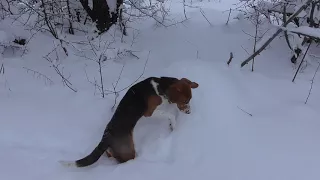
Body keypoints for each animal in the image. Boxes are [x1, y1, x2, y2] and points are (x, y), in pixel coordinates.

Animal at [59, 76, 198, 167]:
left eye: (190, 99)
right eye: (185, 101)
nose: (189, 112)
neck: (160, 86)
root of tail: (106, 137)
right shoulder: (149, 113)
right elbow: (170, 115)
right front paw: (173, 125)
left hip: (114, 151)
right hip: (128, 152)